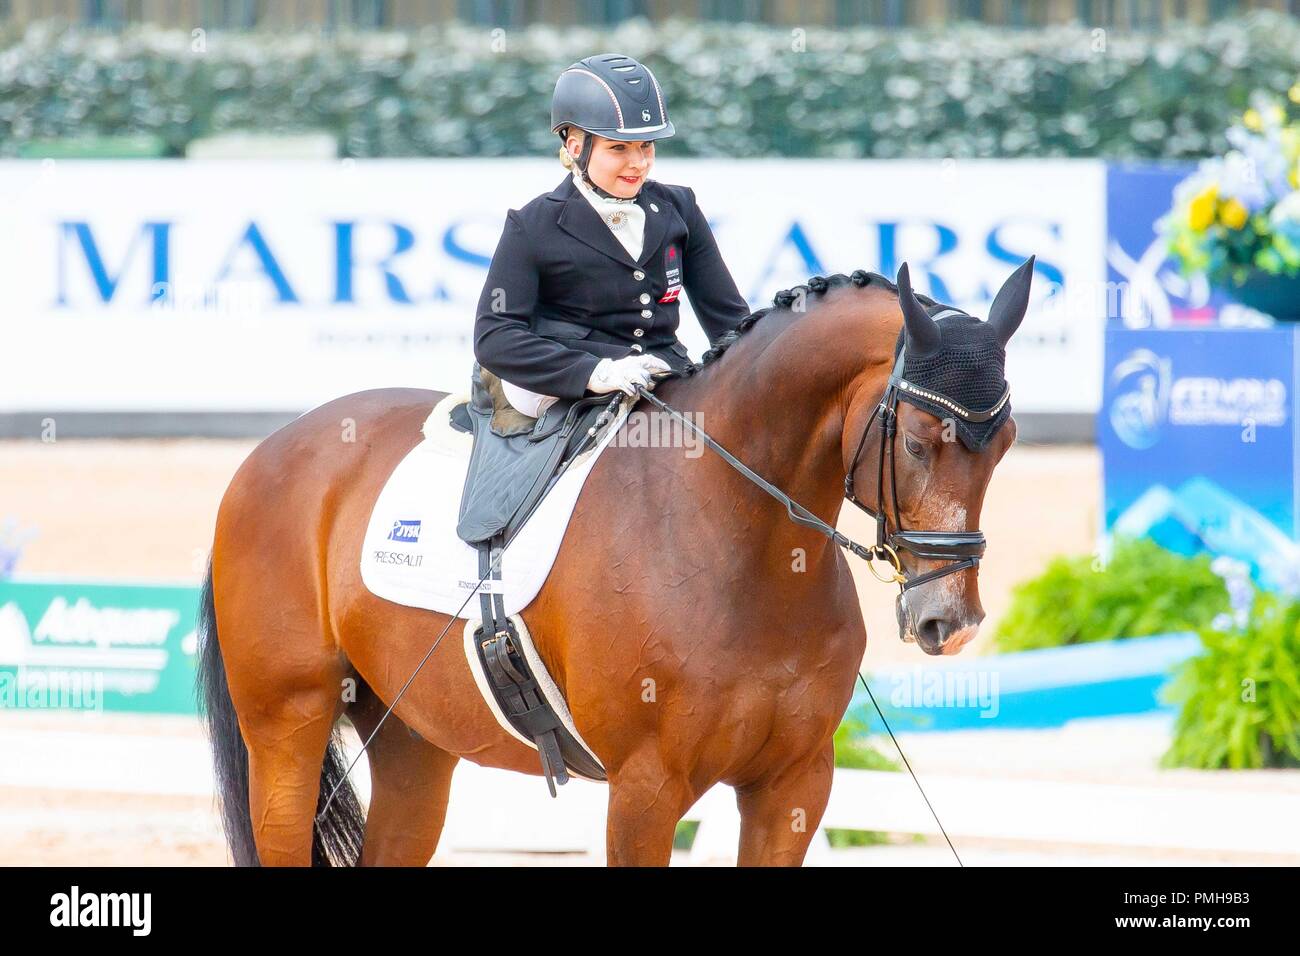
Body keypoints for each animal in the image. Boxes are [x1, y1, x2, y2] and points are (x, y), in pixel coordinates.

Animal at [195, 264, 1024, 868]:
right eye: (915, 441)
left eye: (1007, 441)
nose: (949, 620)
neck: (743, 543)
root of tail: (271, 450)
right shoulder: (645, 787)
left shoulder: (794, 782)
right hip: (289, 723)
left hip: (412, 740)